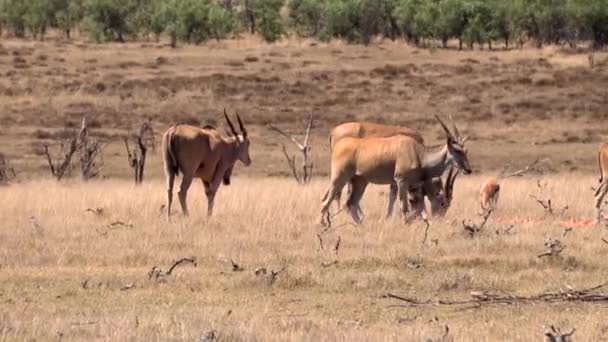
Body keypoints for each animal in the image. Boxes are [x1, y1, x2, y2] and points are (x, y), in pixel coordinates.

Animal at [320, 115, 472, 227]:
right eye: (457, 150)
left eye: (465, 150)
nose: (468, 170)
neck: (419, 152)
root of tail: (337, 137)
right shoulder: (401, 181)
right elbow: (403, 205)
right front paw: (403, 223)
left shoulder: (409, 185)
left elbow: (416, 204)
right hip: (339, 178)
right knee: (327, 200)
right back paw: (324, 224)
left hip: (360, 182)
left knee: (350, 202)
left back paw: (361, 224)